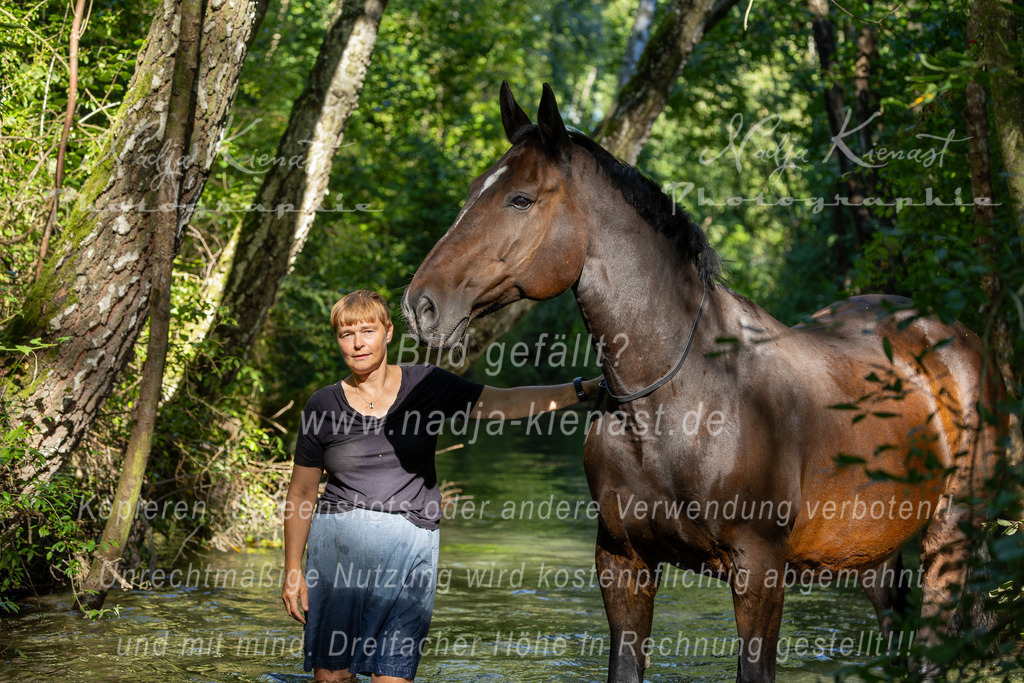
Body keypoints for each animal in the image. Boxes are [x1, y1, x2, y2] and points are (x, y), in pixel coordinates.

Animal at [401, 82, 1005, 682]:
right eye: (474, 191)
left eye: (520, 199)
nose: (420, 305)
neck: (679, 401)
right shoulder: (623, 562)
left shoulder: (759, 570)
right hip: (877, 557)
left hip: (948, 534)